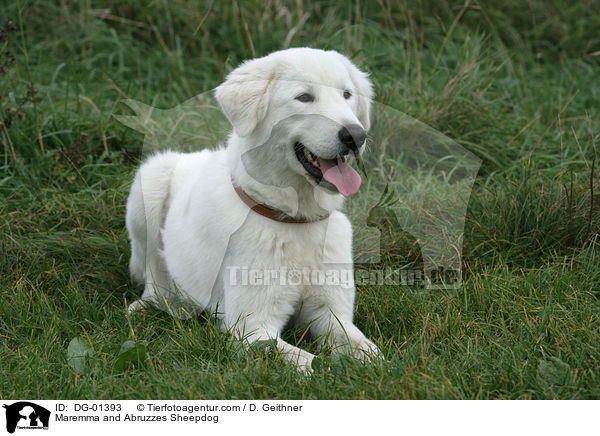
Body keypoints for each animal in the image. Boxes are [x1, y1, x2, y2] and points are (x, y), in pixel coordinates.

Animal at [125, 48, 382, 374]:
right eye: (304, 97)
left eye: (346, 95)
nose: (356, 136)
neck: (294, 219)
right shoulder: (251, 326)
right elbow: (308, 364)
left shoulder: (331, 313)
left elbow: (372, 354)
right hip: (149, 185)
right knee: (152, 274)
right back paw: (155, 305)